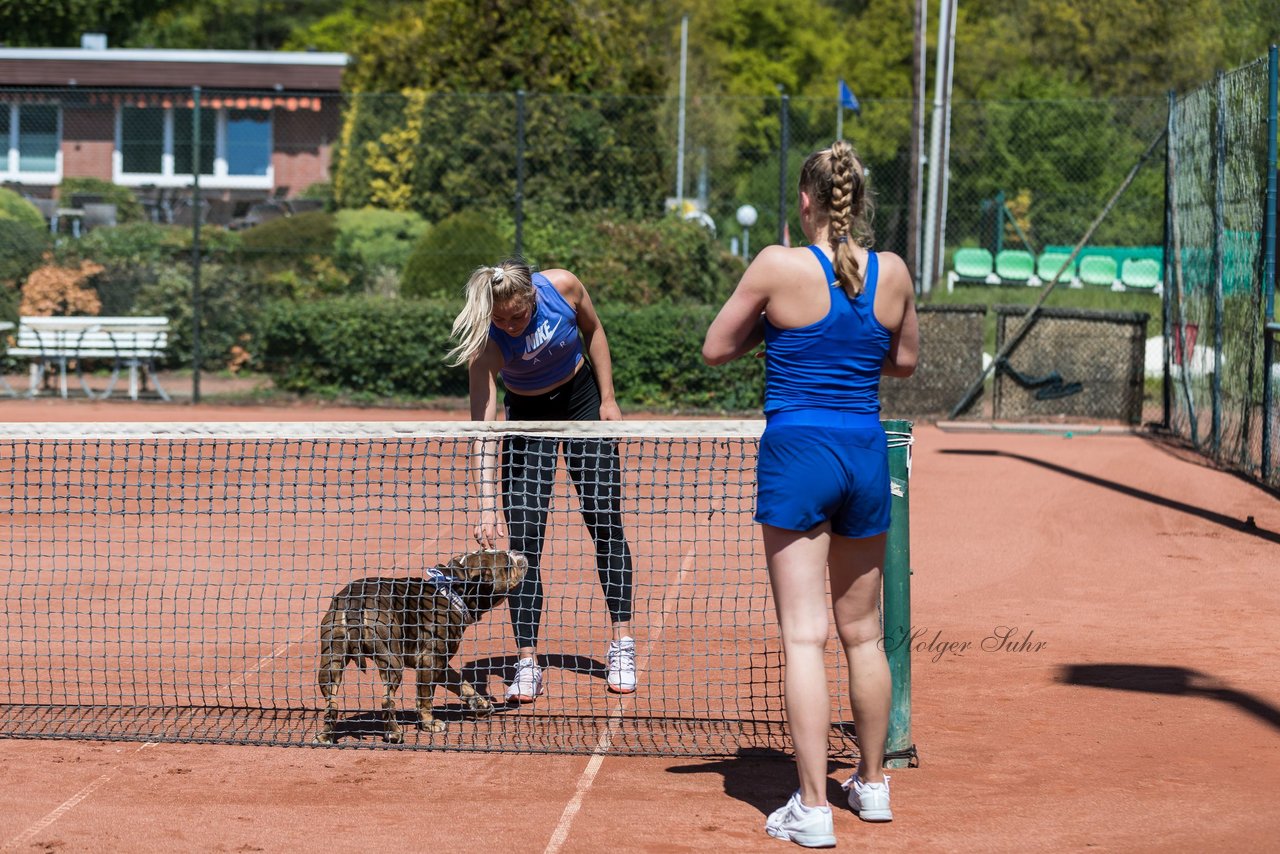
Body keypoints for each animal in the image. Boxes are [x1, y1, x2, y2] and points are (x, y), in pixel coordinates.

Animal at [313, 550, 524, 742]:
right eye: (507, 564)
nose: (518, 553)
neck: (454, 592)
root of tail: (355, 601)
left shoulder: (441, 664)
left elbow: (462, 684)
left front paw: (481, 705)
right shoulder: (430, 662)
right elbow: (425, 698)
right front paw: (429, 723)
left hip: (332, 662)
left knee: (332, 704)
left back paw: (325, 736)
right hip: (392, 662)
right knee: (386, 700)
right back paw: (394, 733)